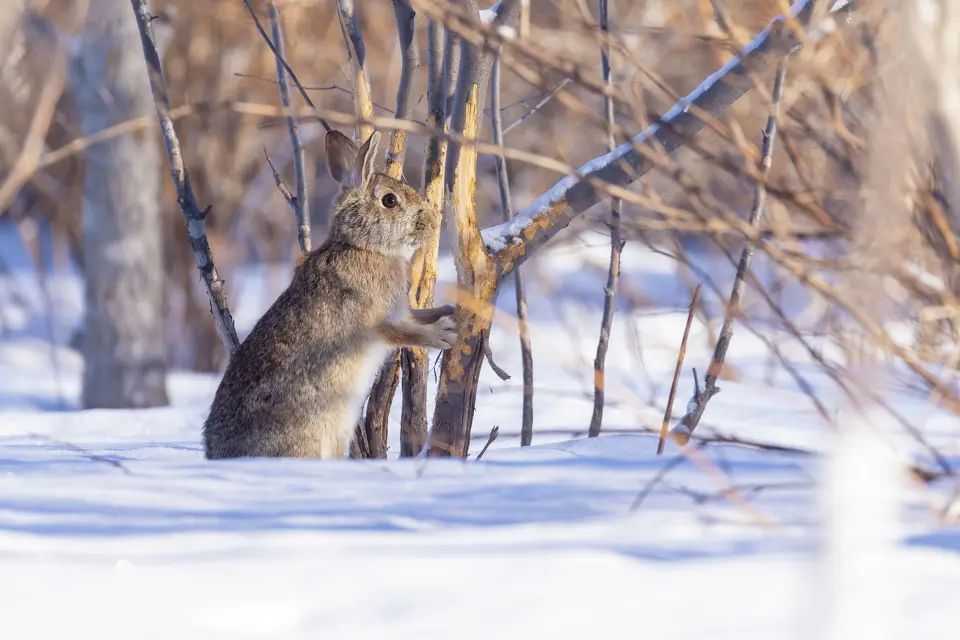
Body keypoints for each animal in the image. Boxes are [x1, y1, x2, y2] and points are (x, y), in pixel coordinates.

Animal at [203, 129, 456, 460]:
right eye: (390, 201)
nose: (432, 223)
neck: (362, 246)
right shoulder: (376, 323)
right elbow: (407, 334)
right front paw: (445, 334)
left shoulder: (402, 311)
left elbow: (420, 315)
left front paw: (450, 311)